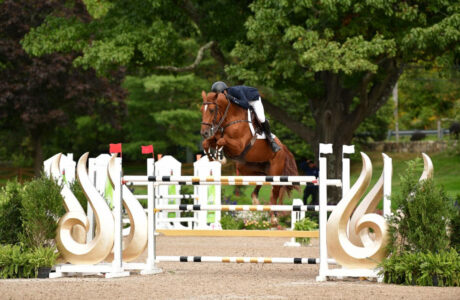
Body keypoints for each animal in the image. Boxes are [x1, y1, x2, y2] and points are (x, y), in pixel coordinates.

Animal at [200, 90, 300, 219]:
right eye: (201, 110)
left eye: (212, 110)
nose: (204, 133)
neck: (229, 119)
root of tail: (283, 147)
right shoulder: (216, 138)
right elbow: (207, 143)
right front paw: (212, 158)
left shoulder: (238, 146)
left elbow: (221, 141)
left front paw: (220, 157)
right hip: (247, 168)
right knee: (262, 178)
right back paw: (255, 199)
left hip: (275, 171)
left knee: (275, 192)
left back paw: (273, 217)